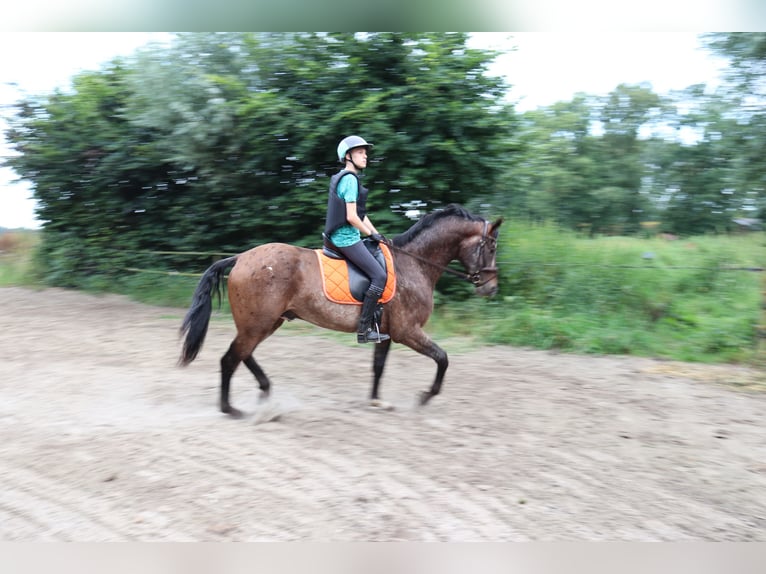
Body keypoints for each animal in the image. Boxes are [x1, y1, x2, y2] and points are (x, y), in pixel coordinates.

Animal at [179, 204, 504, 418]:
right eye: (490, 247)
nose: (490, 288)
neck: (415, 264)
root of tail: (241, 258)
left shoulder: (386, 333)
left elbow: (379, 366)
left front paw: (376, 401)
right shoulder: (407, 331)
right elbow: (443, 358)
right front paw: (425, 397)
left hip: (266, 323)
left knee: (243, 354)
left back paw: (265, 391)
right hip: (258, 323)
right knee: (231, 358)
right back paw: (231, 408)